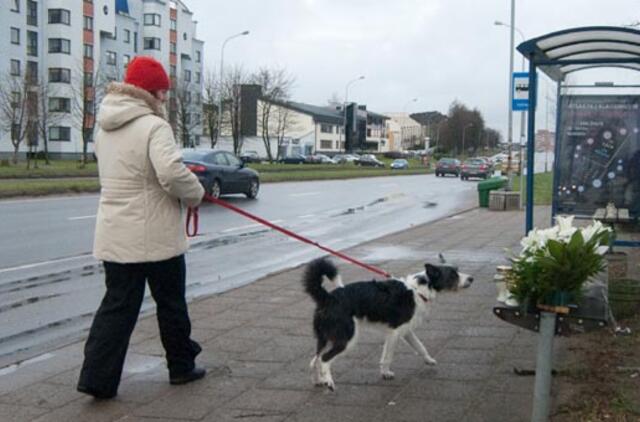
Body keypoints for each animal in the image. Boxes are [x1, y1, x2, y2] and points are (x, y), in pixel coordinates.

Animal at [302, 256, 472, 390]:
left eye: (457, 270)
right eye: (453, 274)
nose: (471, 278)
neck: (419, 290)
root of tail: (328, 297)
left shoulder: (406, 331)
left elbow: (420, 346)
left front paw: (428, 360)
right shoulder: (394, 333)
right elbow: (387, 357)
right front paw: (385, 374)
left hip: (326, 339)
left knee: (315, 360)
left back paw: (319, 381)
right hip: (346, 339)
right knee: (324, 360)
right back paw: (329, 382)